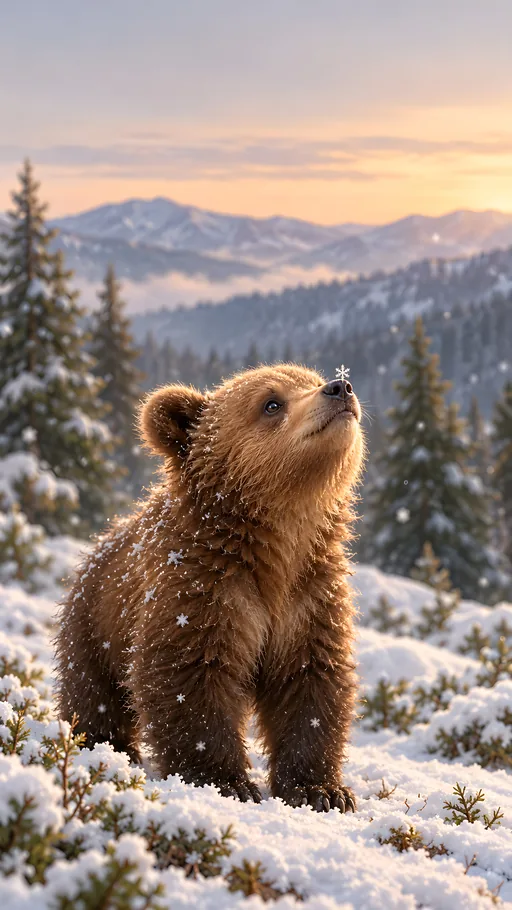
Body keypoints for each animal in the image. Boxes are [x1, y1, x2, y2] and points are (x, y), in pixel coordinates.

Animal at [55, 363, 364, 813]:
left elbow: (310, 682)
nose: (340, 387)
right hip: (95, 623)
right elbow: (190, 677)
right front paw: (226, 780)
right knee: (93, 694)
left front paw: (320, 789)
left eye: (310, 378)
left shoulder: (309, 598)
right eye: (271, 402)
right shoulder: (203, 590)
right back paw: (104, 745)